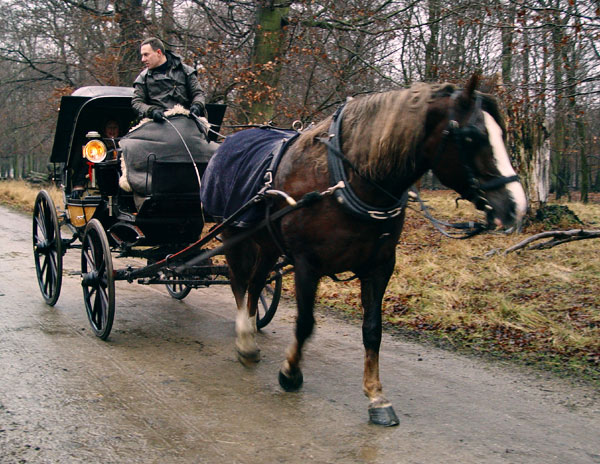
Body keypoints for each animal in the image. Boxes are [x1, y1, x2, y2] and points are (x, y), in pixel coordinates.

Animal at [219, 74, 524, 426]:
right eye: (472, 136)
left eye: (503, 134)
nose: (516, 206)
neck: (345, 180)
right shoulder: (308, 264)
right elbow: (306, 322)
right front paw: (291, 373)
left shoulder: (380, 265)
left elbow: (373, 330)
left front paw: (376, 396)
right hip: (233, 234)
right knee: (240, 283)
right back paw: (244, 338)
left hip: (268, 244)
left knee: (256, 284)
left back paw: (249, 335)